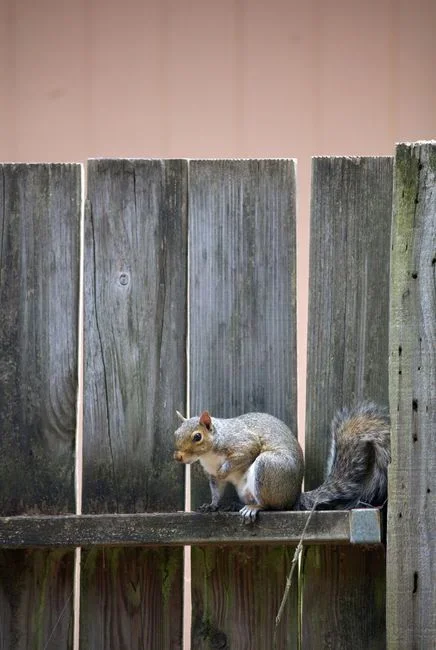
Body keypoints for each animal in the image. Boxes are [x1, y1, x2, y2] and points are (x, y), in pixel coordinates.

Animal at [173, 410, 304, 522]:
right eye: (176, 433)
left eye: (197, 437)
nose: (178, 457)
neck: (208, 456)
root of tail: (292, 500)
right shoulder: (213, 475)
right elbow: (216, 492)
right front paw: (212, 505)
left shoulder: (244, 444)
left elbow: (240, 458)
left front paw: (222, 472)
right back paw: (236, 505)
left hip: (268, 466)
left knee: (270, 505)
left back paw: (254, 507)